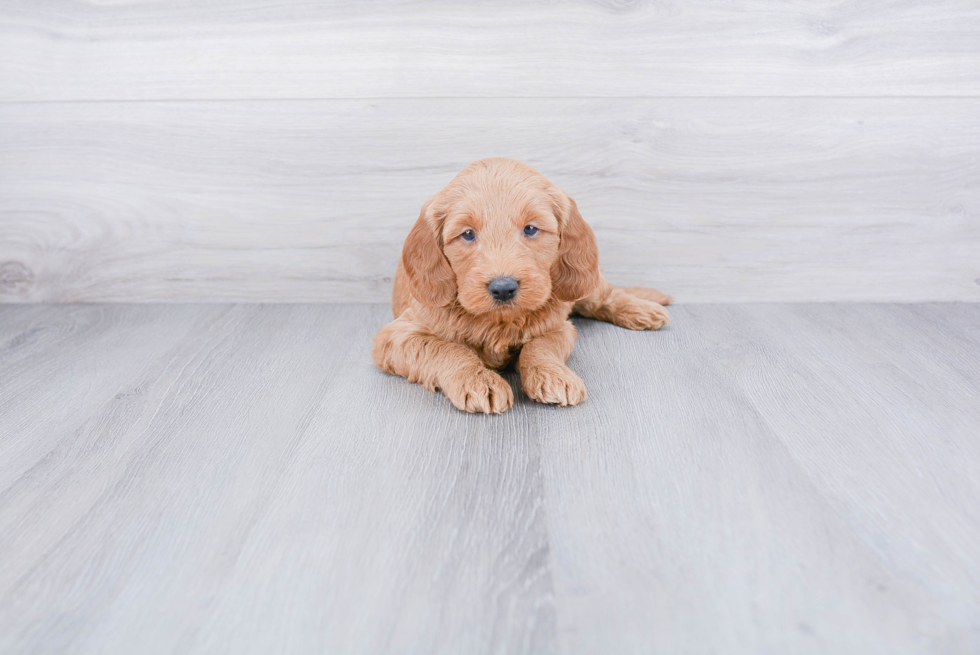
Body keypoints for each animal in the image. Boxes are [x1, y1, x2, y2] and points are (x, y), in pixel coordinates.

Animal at [372, 158, 668, 416]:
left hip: (578, 284)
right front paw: (478, 380)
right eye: (467, 234)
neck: (499, 321)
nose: (503, 288)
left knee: (605, 294)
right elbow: (446, 349)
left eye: (530, 229)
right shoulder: (398, 335)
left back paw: (643, 308)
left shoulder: (557, 325)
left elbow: (540, 347)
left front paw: (553, 375)